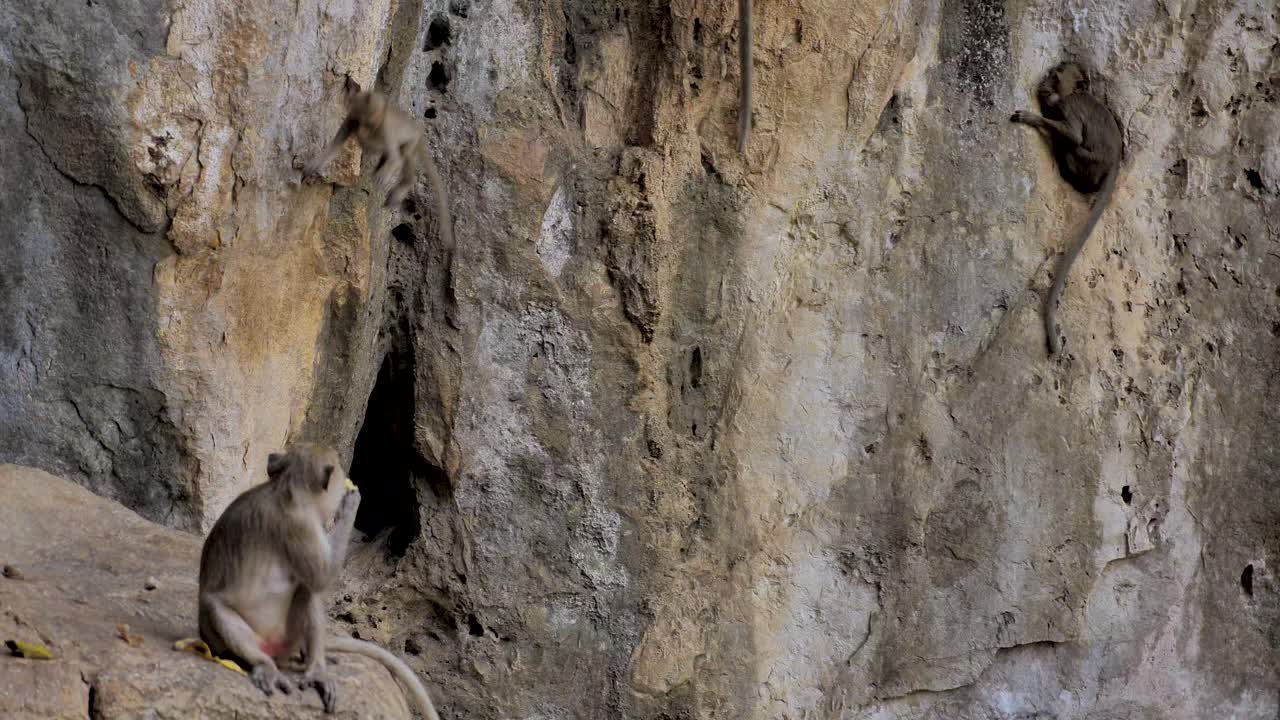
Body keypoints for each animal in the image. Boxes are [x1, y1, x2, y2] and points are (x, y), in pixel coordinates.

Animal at [197, 443, 441, 719]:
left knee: (306, 592)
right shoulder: (301, 524)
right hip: (227, 642)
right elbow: (322, 577)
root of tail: (276, 651)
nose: (342, 492)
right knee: (217, 607)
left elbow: (314, 584)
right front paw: (350, 504)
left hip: (288, 638)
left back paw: (315, 668)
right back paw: (265, 664)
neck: (287, 487)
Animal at [305, 78, 454, 248]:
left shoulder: (385, 129)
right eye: (360, 121)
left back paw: (402, 182)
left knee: (403, 156)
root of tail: (418, 130)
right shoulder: (352, 117)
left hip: (412, 141)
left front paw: (382, 174)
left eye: (369, 123)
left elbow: (395, 158)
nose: (362, 131)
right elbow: (339, 140)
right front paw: (318, 161)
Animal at [1011, 61, 1123, 356]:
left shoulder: (1069, 105)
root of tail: (1115, 163)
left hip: (1086, 164)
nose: (1044, 84)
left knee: (1073, 147)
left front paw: (1031, 117)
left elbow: (1072, 133)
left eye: (1056, 75)